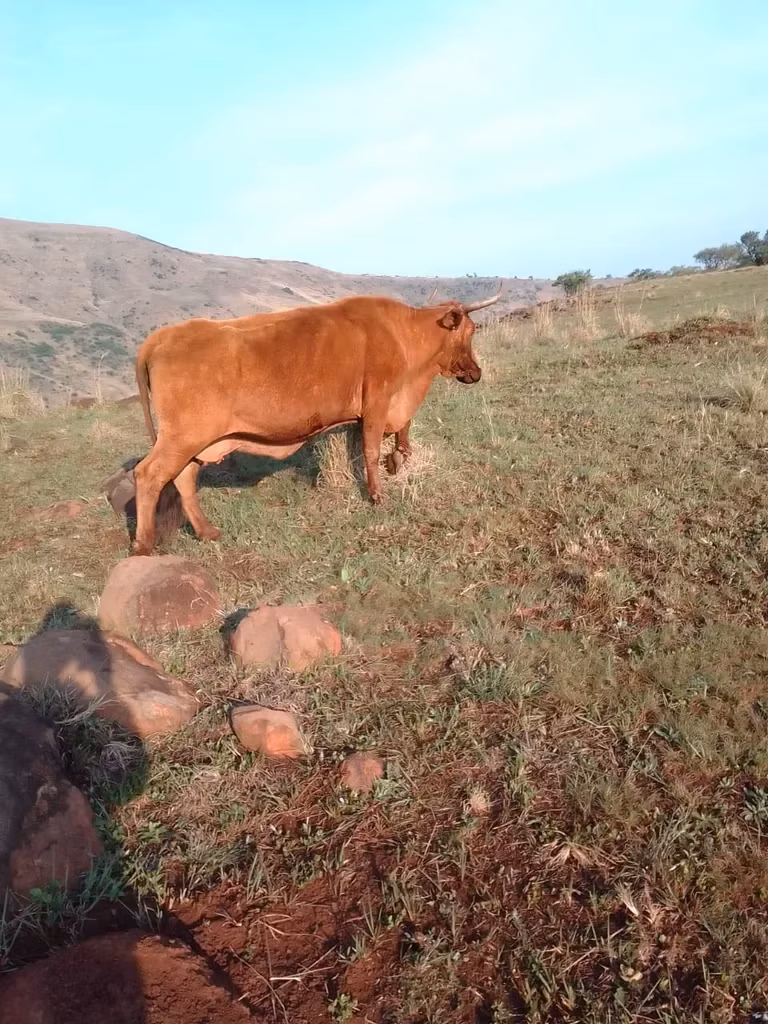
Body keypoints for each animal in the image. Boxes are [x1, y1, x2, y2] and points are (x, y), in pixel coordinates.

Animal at [129, 284, 502, 555]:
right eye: (471, 330)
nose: (477, 373)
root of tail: (164, 335)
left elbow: (396, 438)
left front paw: (397, 460)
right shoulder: (378, 401)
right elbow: (370, 451)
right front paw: (377, 496)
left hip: (195, 440)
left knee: (183, 477)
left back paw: (207, 531)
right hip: (183, 435)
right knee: (149, 475)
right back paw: (144, 546)